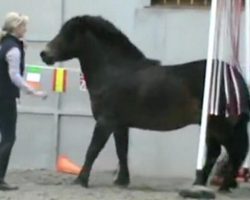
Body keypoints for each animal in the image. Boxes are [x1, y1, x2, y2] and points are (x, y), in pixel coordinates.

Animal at [40, 15, 249, 191]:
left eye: (68, 33)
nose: (44, 54)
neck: (115, 71)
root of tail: (233, 76)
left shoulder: (105, 122)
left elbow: (92, 150)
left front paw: (80, 180)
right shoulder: (120, 125)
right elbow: (122, 151)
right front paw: (122, 181)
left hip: (219, 126)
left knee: (233, 152)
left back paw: (222, 186)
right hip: (210, 127)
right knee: (217, 152)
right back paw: (201, 184)